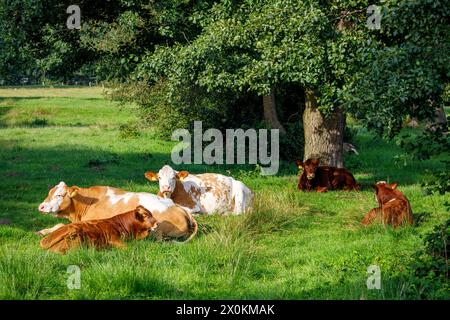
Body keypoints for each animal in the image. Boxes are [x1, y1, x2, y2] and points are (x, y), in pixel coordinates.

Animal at [35, 181, 197, 241]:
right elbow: (60, 225)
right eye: (49, 193)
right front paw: (42, 231)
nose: (40, 206)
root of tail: (179, 207)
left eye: (59, 195)